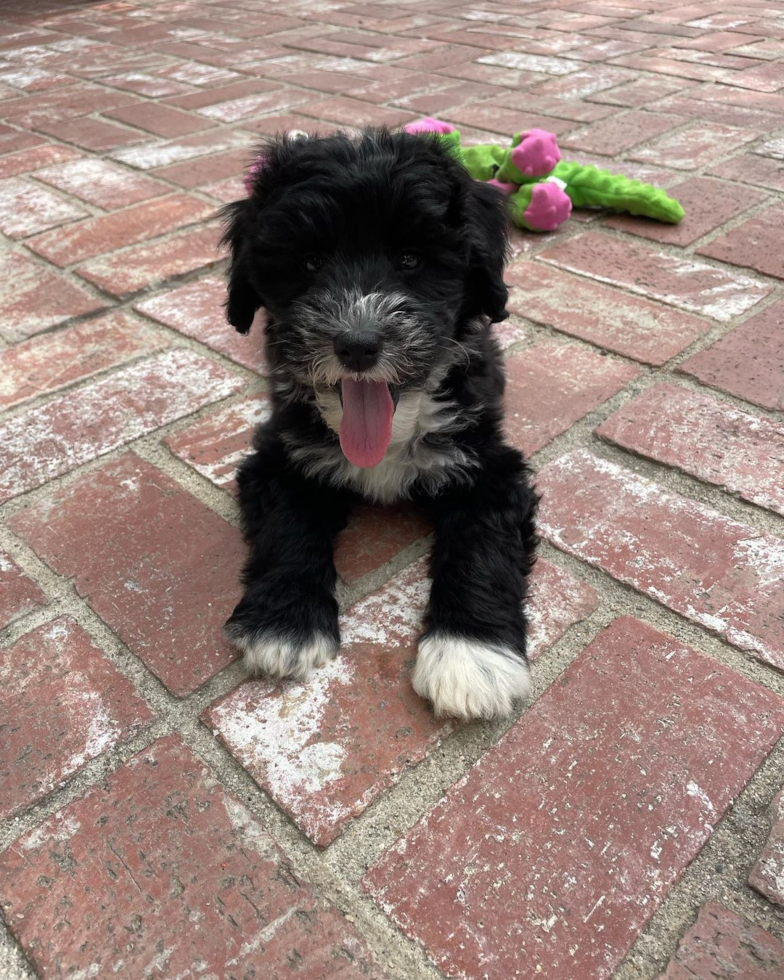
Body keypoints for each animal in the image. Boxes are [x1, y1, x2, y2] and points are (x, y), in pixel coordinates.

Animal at [220, 128, 540, 720]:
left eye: (411, 258)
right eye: (310, 263)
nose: (358, 344)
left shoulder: (490, 466)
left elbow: (482, 545)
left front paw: (472, 656)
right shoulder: (279, 456)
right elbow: (289, 528)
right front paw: (285, 624)